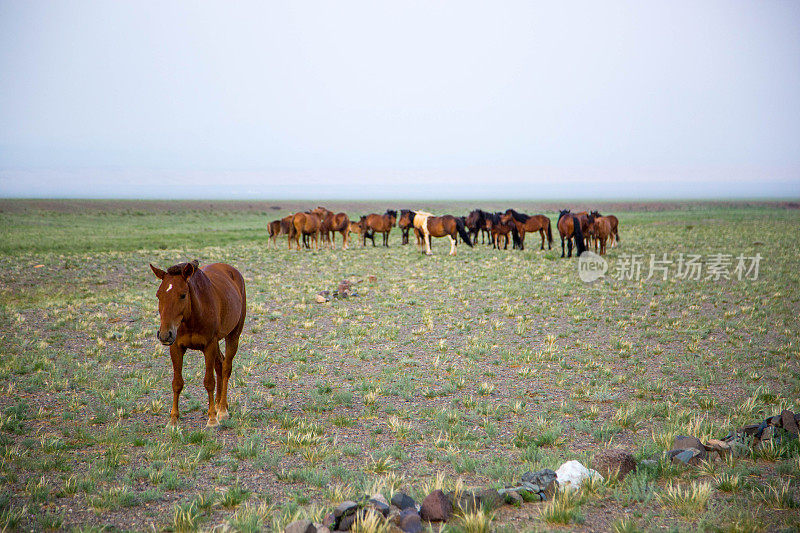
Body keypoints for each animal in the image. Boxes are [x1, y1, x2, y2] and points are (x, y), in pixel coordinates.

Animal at [150, 260, 247, 426]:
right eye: (158, 295)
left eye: (183, 295)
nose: (164, 334)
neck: (192, 317)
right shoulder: (176, 347)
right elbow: (177, 383)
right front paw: (173, 419)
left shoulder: (209, 346)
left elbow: (209, 382)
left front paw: (212, 418)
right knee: (220, 364)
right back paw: (218, 404)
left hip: (233, 336)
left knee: (226, 367)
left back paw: (222, 409)